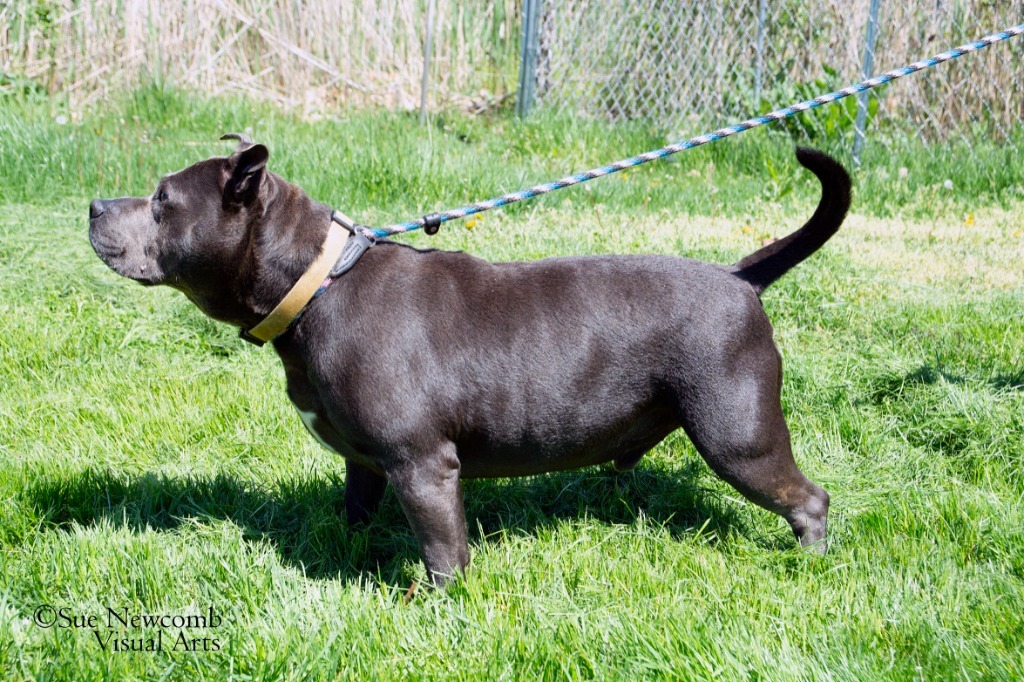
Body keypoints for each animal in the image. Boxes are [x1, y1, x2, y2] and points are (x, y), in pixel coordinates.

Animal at [92, 137, 851, 577]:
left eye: (161, 200)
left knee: (807, 498)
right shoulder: (365, 463)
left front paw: (438, 608)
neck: (318, 283)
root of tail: (739, 279)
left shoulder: (423, 466)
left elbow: (442, 553)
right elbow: (354, 514)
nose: (96, 205)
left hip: (738, 436)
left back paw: (811, 565)